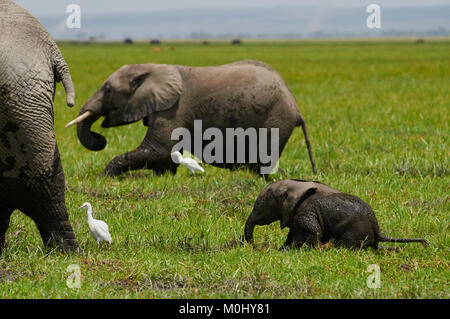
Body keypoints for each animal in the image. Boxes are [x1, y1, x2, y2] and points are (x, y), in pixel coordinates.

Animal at [68, 60, 318, 178]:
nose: (99, 138)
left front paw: (104, 176)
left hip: (275, 120)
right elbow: (165, 154)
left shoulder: (174, 108)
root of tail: (296, 107)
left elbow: (158, 148)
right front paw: (164, 176)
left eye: (108, 90)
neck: (152, 68)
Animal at [244, 180, 430, 250]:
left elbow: (313, 233)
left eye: (261, 205)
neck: (295, 186)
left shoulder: (306, 213)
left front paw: (284, 250)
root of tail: (377, 230)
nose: (254, 247)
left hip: (353, 232)